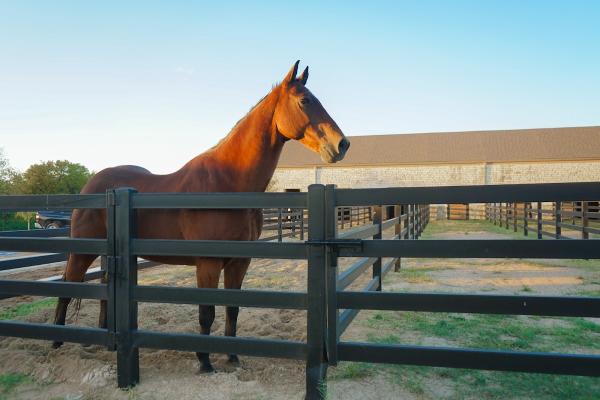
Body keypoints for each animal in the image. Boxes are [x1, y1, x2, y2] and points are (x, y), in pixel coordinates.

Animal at [54, 61, 350, 372]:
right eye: (304, 101)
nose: (341, 145)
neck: (227, 183)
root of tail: (92, 184)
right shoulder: (208, 262)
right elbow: (206, 311)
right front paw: (205, 362)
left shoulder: (239, 261)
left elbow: (232, 309)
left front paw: (233, 358)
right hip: (82, 251)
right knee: (67, 285)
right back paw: (57, 341)